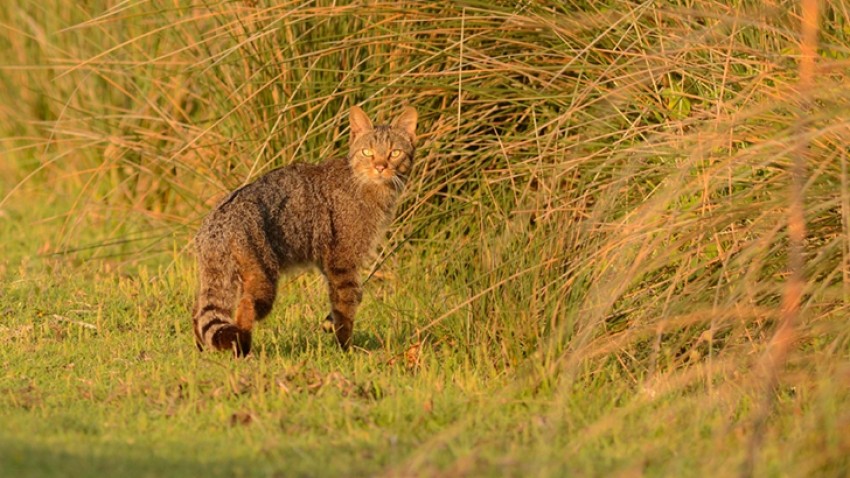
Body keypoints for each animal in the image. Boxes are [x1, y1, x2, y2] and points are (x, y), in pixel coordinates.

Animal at [193, 106, 418, 356]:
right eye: (367, 152)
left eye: (394, 153)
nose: (380, 167)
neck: (365, 185)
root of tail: (218, 222)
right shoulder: (343, 261)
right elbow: (346, 306)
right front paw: (345, 350)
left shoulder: (327, 261)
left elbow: (343, 302)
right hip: (262, 277)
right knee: (245, 306)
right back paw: (243, 349)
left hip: (221, 277)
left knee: (198, 313)